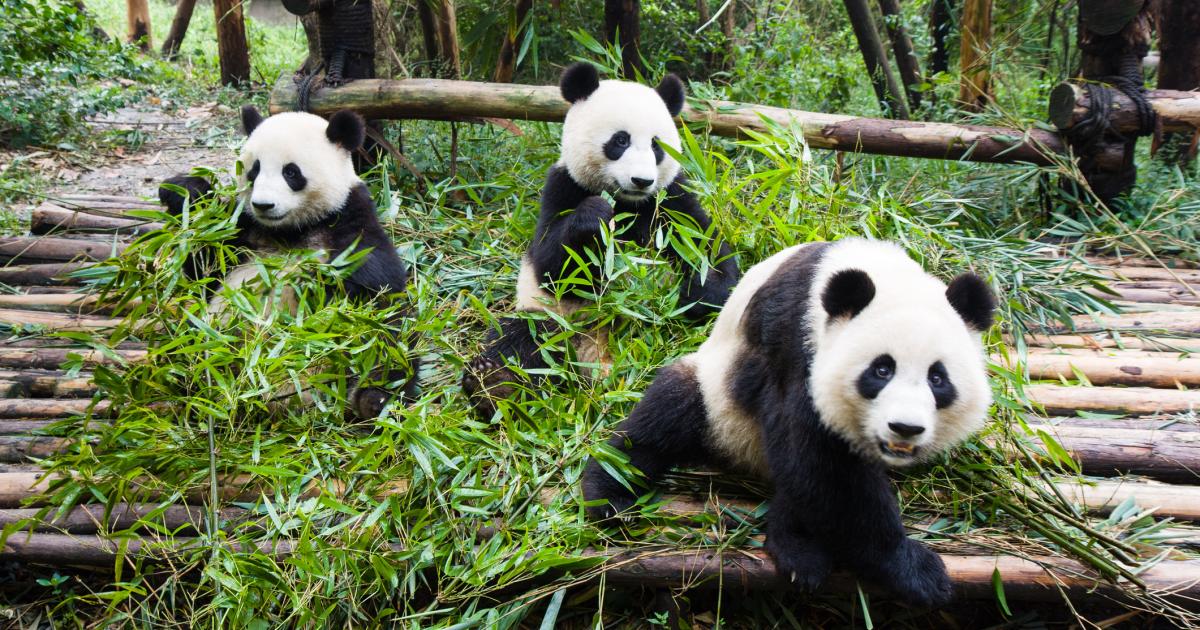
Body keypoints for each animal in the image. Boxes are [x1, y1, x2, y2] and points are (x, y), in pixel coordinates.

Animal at [158, 105, 417, 418]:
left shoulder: (350, 219)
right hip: (206, 344)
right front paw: (184, 190)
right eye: (254, 170)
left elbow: (376, 285)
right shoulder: (243, 229)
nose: (263, 205)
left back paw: (372, 401)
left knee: (390, 350)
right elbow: (205, 264)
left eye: (291, 172)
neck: (289, 230)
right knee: (185, 353)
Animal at [462, 62, 741, 417]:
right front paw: (595, 216)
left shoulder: (671, 199)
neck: (628, 202)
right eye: (620, 140)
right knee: (522, 337)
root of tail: (596, 359)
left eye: (656, 146)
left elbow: (707, 249)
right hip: (554, 321)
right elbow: (551, 265)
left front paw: (693, 293)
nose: (642, 180)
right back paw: (495, 385)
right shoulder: (563, 185)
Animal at [581, 238, 996, 607]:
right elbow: (821, 462)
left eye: (937, 378)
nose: (904, 428)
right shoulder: (796, 343)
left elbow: (813, 472)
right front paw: (915, 569)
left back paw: (794, 545)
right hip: (716, 399)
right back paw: (610, 494)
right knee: (664, 418)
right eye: (881, 370)